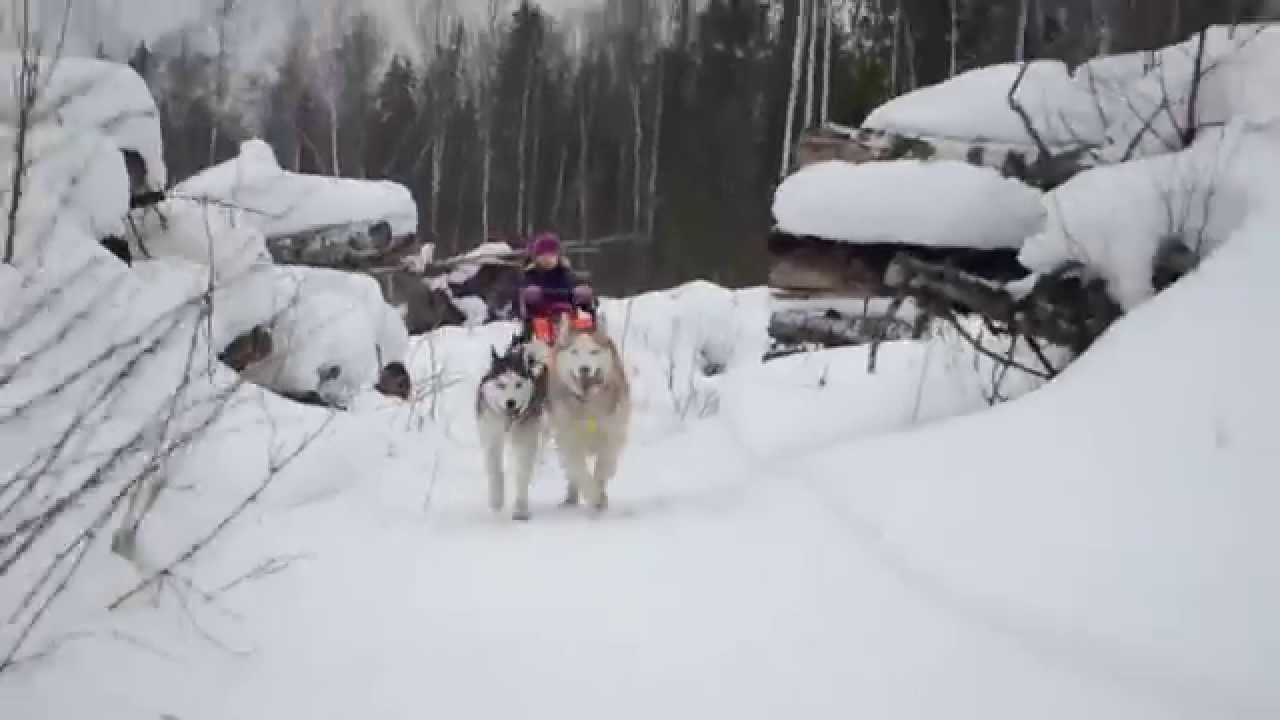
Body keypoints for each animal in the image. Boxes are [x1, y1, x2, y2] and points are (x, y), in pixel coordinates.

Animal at [476, 338, 545, 517]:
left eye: (518, 384)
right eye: (501, 385)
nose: (511, 402)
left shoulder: (526, 438)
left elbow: (522, 472)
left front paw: (520, 508)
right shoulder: (491, 438)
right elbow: (495, 471)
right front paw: (496, 500)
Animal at [547, 313, 632, 509]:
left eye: (594, 352)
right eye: (574, 352)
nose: (584, 368)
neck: (587, 405)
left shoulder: (612, 434)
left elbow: (604, 465)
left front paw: (600, 494)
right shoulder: (568, 439)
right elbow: (579, 470)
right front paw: (593, 496)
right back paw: (571, 497)